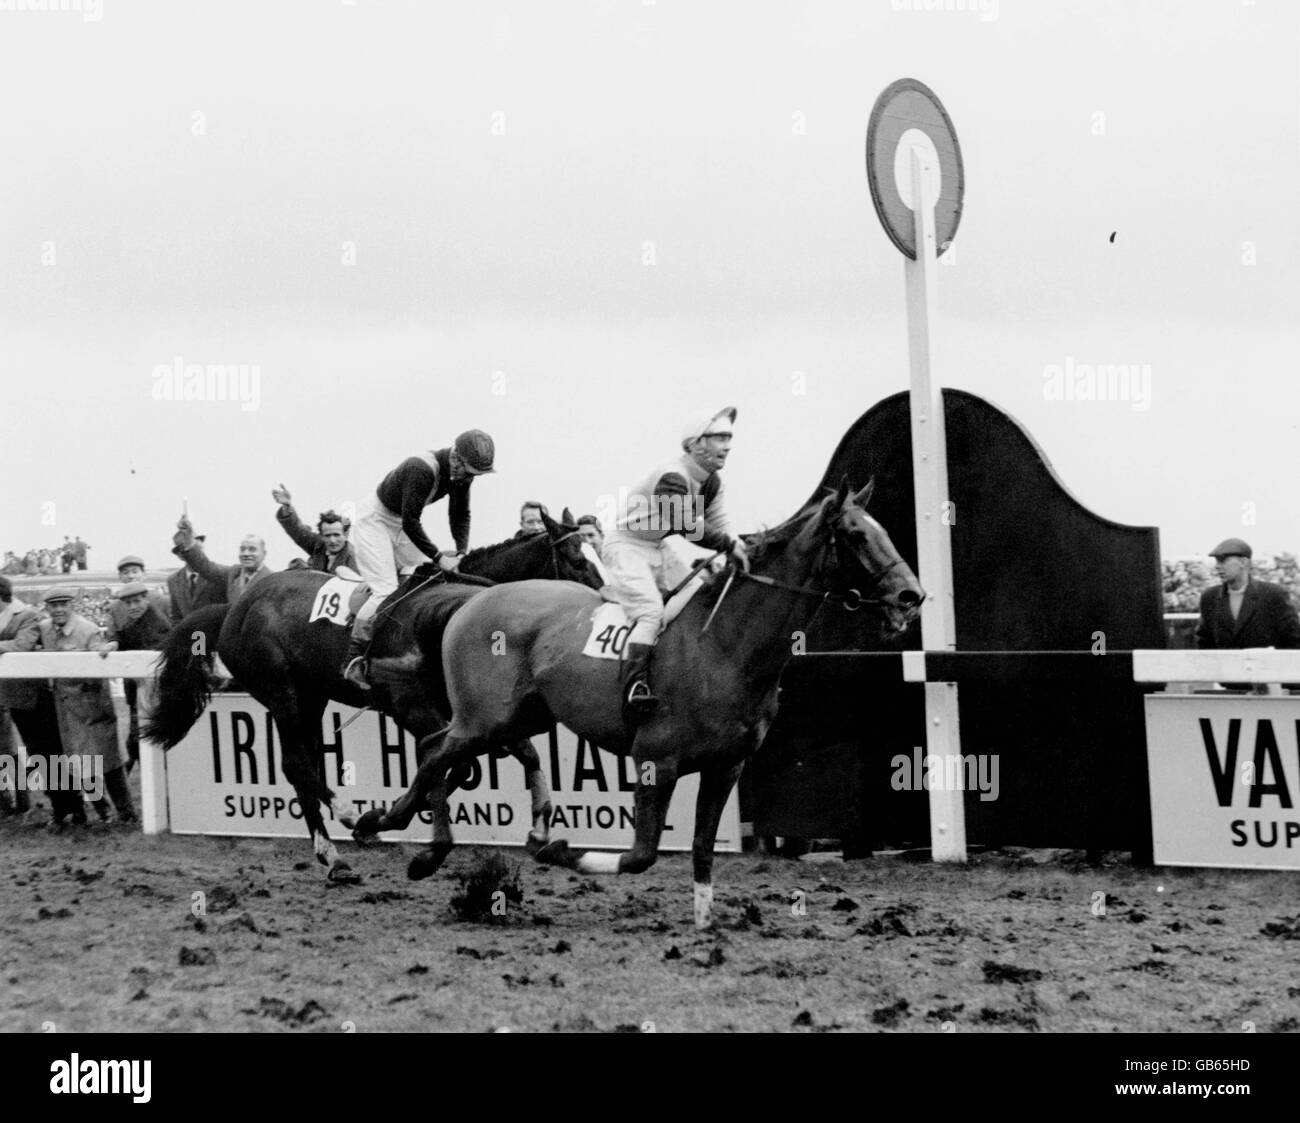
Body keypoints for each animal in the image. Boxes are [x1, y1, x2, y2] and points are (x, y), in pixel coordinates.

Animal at [143, 512, 603, 883]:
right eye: (579, 561)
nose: (607, 608)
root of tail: (233, 608)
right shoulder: (411, 708)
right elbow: (452, 765)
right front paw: (393, 826)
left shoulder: (472, 713)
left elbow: (513, 754)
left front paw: (539, 828)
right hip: (280, 691)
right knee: (295, 764)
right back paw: (341, 831)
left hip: (312, 696)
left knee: (307, 761)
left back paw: (340, 846)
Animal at [356, 478, 925, 925]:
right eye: (856, 536)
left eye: (883, 531)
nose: (911, 597)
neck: (725, 644)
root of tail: (470, 599)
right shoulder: (657, 759)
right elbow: (640, 856)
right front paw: (556, 847)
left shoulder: (727, 765)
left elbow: (700, 848)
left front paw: (705, 921)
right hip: (484, 719)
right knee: (437, 753)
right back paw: (390, 831)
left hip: (514, 718)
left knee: (436, 748)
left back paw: (406, 834)